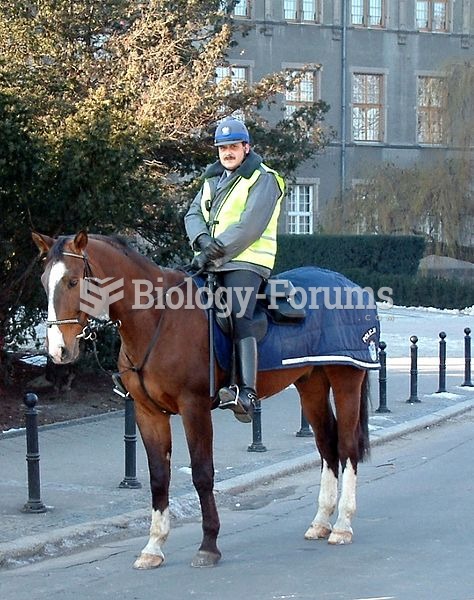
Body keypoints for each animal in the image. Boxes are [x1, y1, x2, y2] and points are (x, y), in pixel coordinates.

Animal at [32, 232, 374, 568]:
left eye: (72, 281)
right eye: (44, 281)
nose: (58, 350)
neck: (157, 318)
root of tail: (351, 286)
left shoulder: (194, 408)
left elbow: (202, 473)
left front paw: (209, 544)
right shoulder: (148, 413)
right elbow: (159, 477)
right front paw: (153, 546)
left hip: (345, 382)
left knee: (346, 447)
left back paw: (342, 525)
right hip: (311, 385)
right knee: (326, 445)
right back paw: (321, 522)